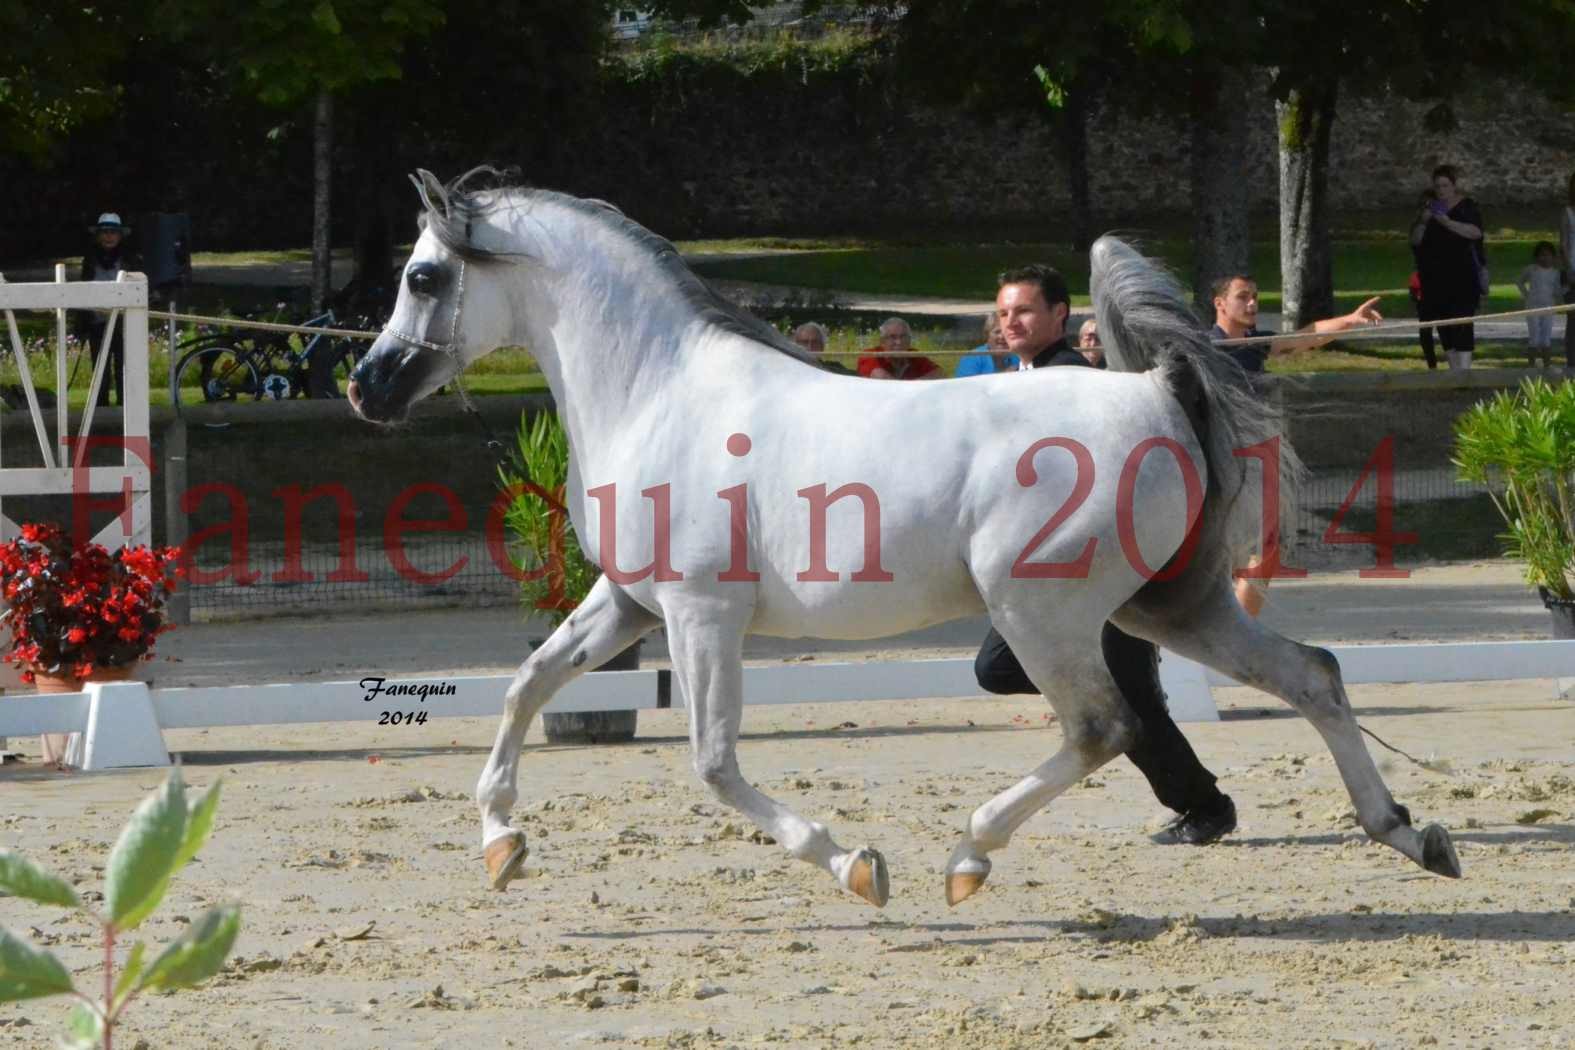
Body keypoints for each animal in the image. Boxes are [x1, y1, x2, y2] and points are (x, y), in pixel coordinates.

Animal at [348, 168, 1461, 906]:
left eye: (422, 277)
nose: (367, 387)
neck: (657, 388)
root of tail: (1154, 386)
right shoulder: (629, 601)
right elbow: (526, 685)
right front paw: (502, 843)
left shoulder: (701, 615)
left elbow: (713, 763)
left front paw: (856, 866)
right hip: (1170, 605)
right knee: (1310, 673)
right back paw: (1409, 835)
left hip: (1043, 613)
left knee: (1103, 727)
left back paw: (967, 857)